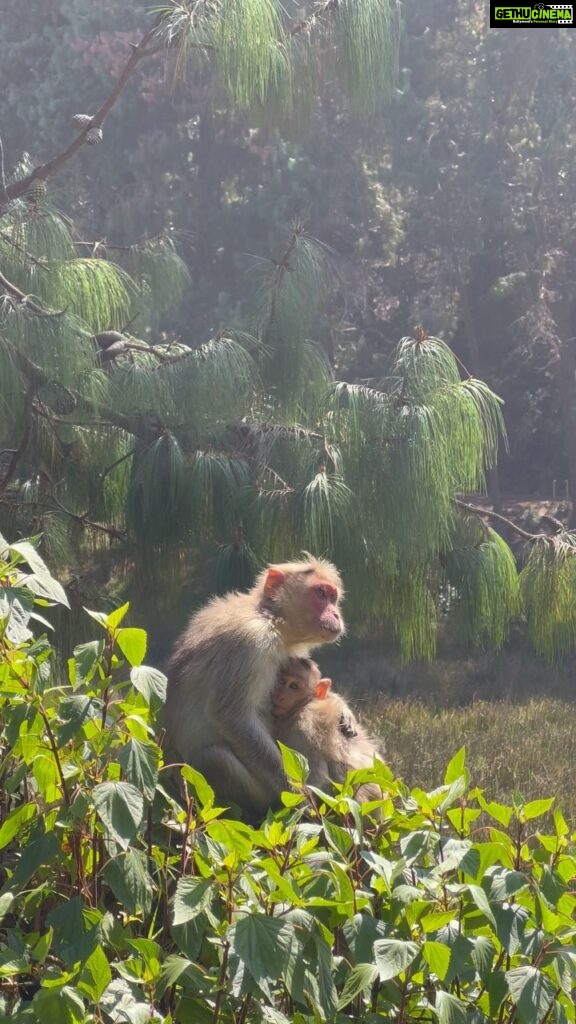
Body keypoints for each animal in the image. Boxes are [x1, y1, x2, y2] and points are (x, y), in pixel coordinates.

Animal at [163, 561, 342, 815]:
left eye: (333, 597)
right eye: (320, 594)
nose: (336, 614)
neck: (269, 618)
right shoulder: (251, 641)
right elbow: (232, 717)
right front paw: (301, 798)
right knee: (214, 758)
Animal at [270, 655, 383, 806]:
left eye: (294, 686)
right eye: (282, 681)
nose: (280, 695)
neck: (304, 704)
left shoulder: (303, 729)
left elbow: (318, 782)